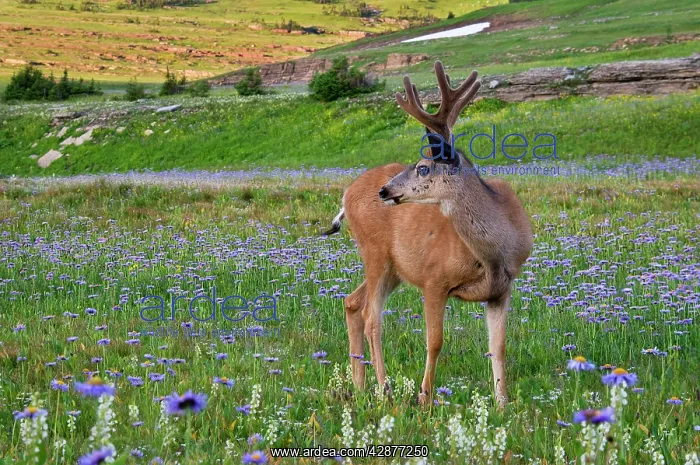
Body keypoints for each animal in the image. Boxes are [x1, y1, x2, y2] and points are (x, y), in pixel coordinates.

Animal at [322, 61, 533, 408]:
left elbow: (499, 346)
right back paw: (384, 389)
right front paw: (424, 397)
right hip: (374, 251)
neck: (494, 252)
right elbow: (435, 341)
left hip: (395, 268)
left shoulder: (501, 289)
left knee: (352, 302)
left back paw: (359, 386)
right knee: (371, 316)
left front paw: (502, 404)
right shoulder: (435, 279)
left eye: (423, 167)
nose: (385, 190)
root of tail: (346, 194)